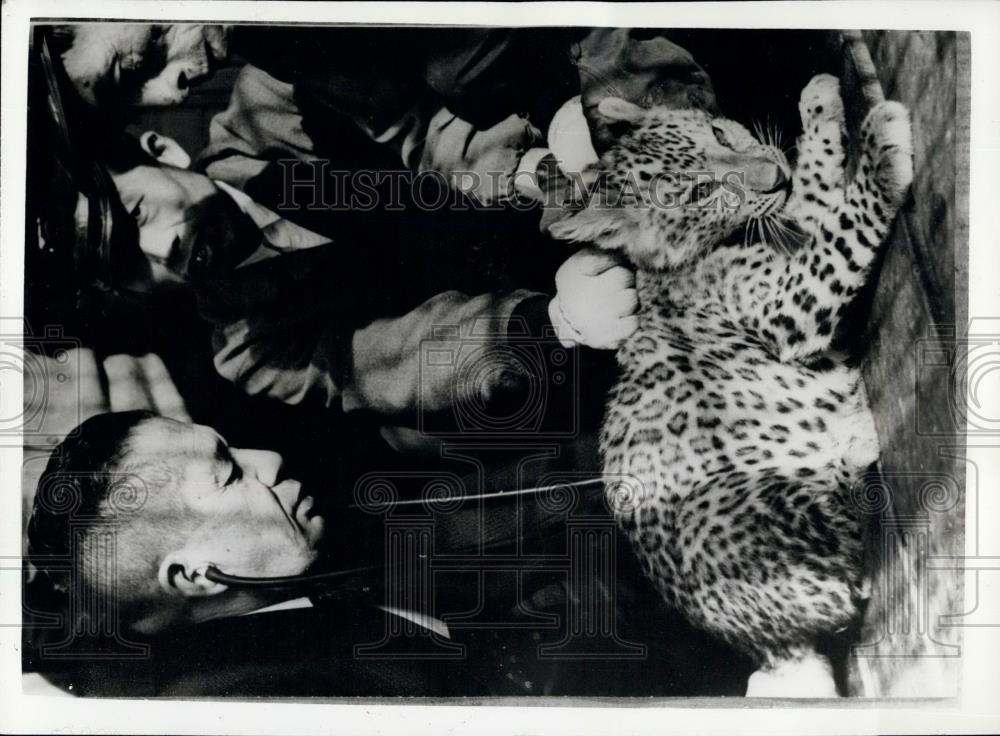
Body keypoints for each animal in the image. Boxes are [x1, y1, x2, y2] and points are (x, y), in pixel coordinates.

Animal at [548, 74, 913, 696]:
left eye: (720, 135)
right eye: (700, 193)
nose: (771, 176)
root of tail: (774, 649)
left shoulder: (797, 224)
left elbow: (819, 188)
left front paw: (820, 105)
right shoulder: (788, 308)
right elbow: (842, 235)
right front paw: (880, 151)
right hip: (741, 503)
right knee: (850, 574)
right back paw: (855, 434)